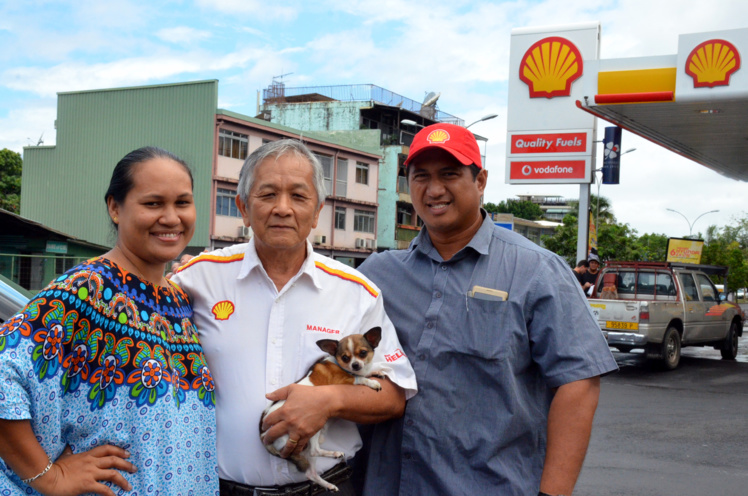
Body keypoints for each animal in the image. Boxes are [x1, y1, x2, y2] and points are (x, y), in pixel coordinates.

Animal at [260, 326, 382, 492]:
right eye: (345, 357)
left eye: (363, 353)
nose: (355, 365)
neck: (339, 365)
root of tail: (262, 435)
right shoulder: (343, 382)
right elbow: (359, 378)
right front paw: (371, 382)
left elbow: (364, 372)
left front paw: (375, 371)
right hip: (310, 427)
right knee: (315, 451)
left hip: (303, 445)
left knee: (311, 472)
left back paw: (328, 482)